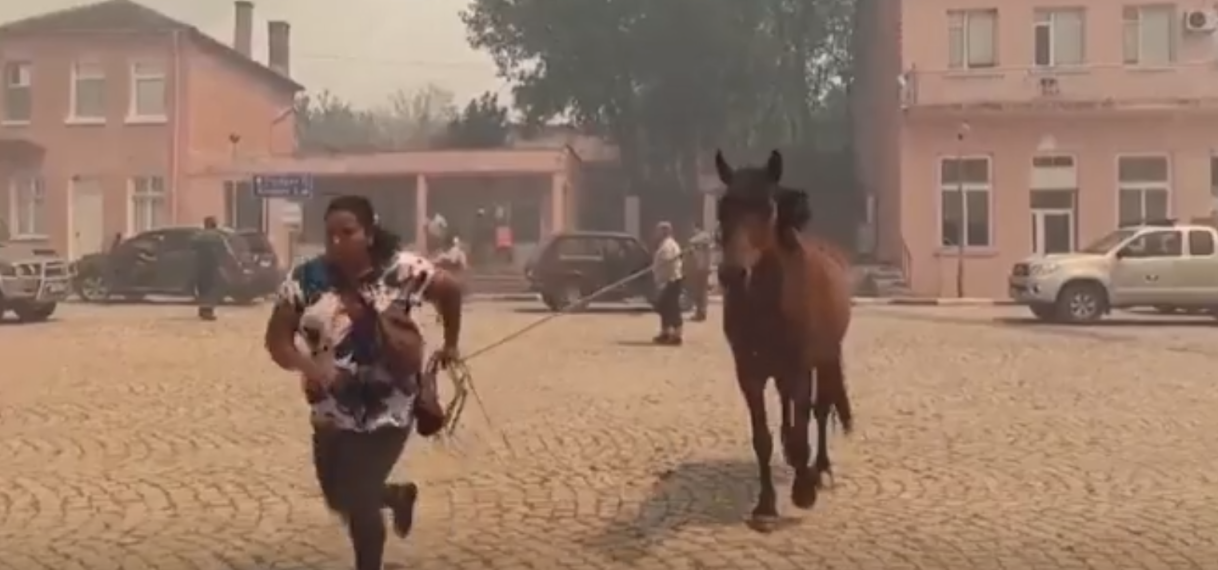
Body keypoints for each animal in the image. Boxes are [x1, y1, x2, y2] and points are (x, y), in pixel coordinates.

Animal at [711, 149, 857, 523]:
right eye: (723, 207)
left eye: (767, 208)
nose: (732, 273)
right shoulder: (749, 373)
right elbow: (762, 438)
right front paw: (765, 504)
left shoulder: (799, 367)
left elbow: (805, 424)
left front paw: (803, 491)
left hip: (825, 357)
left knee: (820, 410)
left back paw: (819, 469)